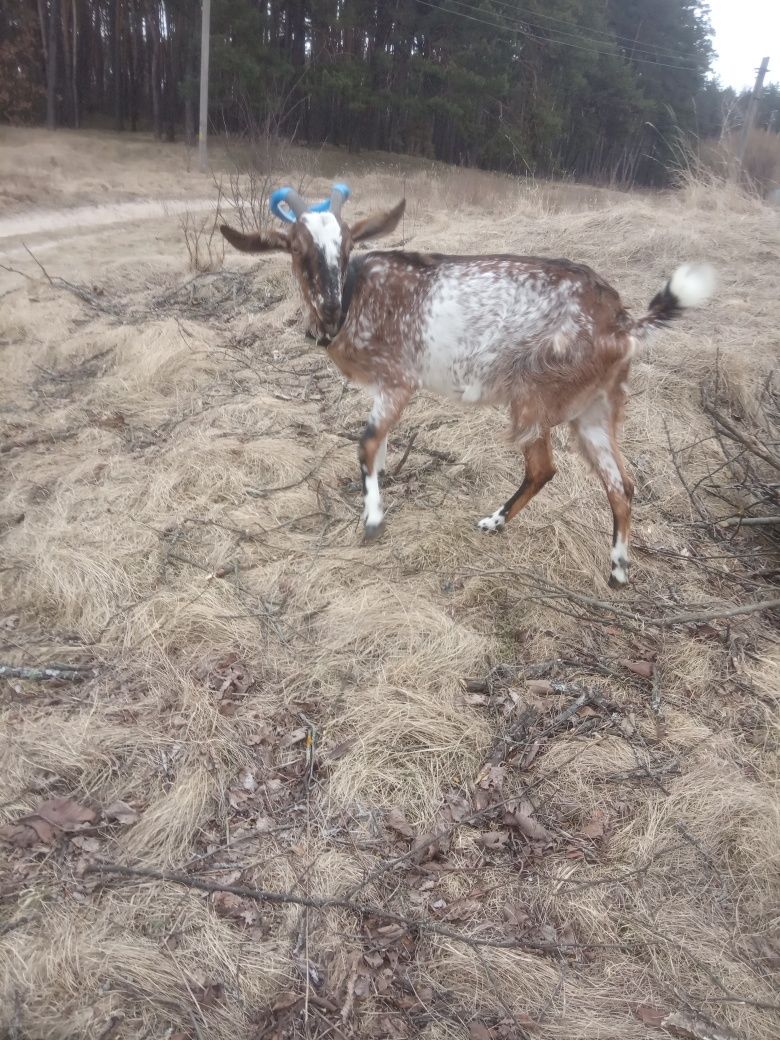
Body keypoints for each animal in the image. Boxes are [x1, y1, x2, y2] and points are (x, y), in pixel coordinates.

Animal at [218, 188, 715, 590]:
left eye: (346, 245)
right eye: (298, 250)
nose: (331, 305)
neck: (360, 293)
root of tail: (623, 321)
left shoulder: (399, 379)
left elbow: (367, 443)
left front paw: (373, 520)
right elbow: (379, 446)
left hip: (535, 396)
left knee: (545, 468)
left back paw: (497, 522)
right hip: (595, 407)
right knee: (621, 483)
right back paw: (617, 569)